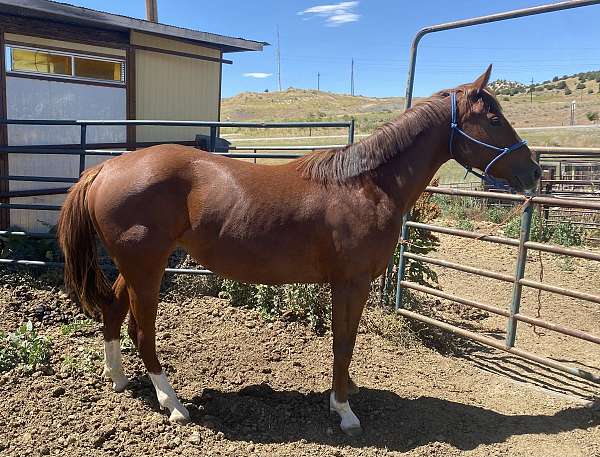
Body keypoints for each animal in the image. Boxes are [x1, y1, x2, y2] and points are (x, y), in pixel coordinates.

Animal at [58, 67, 540, 434]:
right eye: (493, 120)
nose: (534, 172)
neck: (366, 184)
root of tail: (106, 168)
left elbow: (345, 343)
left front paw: (345, 394)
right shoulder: (351, 283)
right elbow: (344, 343)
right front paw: (344, 410)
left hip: (136, 267)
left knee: (113, 311)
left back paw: (118, 379)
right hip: (147, 268)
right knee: (143, 332)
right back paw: (173, 403)